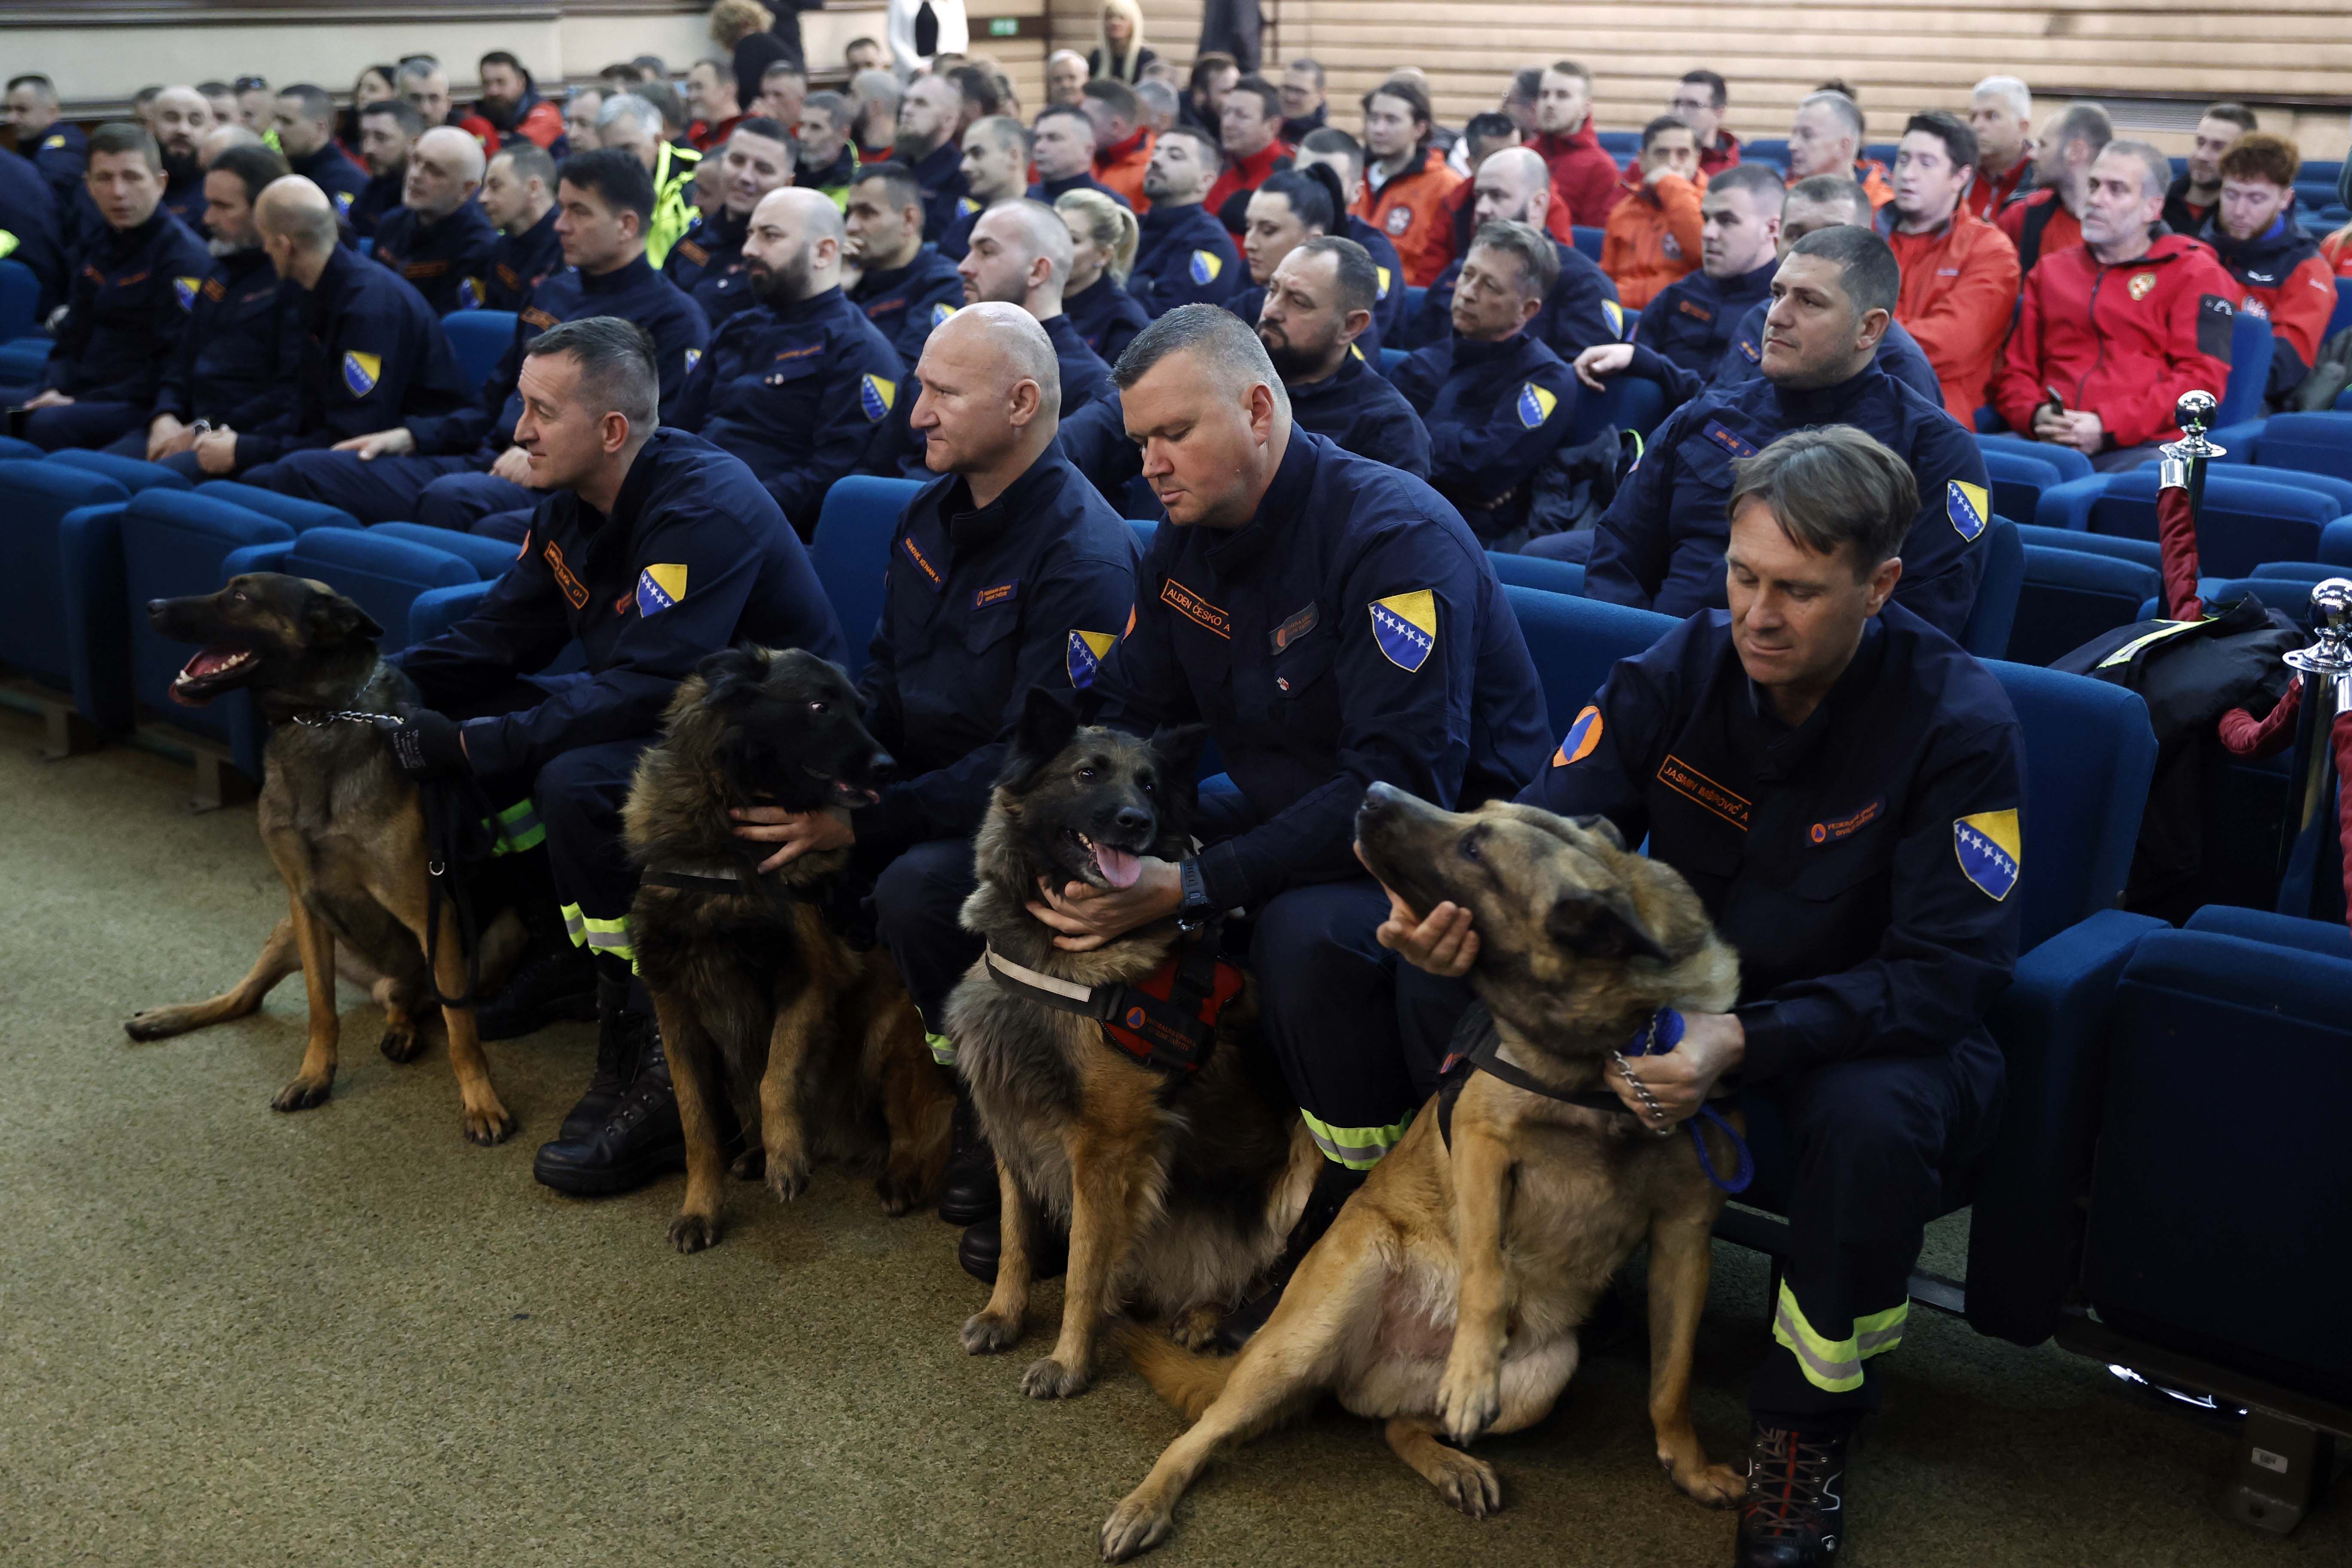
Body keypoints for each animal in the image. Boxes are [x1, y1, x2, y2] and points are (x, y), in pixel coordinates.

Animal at [125, 571, 524, 1147]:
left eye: (240, 597)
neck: (319, 718)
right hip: (287, 929)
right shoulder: (305, 903)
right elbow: (321, 1010)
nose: (152, 606)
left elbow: (462, 1033)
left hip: (500, 936)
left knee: (420, 1000)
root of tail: (384, 981)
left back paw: (403, 1030)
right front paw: (315, 1076)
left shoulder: (430, 910)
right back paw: (169, 1017)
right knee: (247, 999)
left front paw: (481, 1102)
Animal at [630, 644, 959, 1260]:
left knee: (919, 1136)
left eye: (860, 708)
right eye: (818, 707)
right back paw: (756, 1154)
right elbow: (697, 1125)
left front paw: (786, 1154)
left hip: (891, 1038)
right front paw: (701, 1207)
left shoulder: (807, 977)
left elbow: (776, 1073)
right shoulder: (675, 1008)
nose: (889, 768)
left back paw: (896, 1177)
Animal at [945, 691, 1336, 1401]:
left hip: (1304, 1160)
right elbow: (1017, 1237)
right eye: (1087, 775)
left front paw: (1069, 1360)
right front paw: (1004, 1314)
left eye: (1151, 785)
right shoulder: (1009, 1118)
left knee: (1275, 1271)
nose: (1135, 821)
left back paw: (1209, 1316)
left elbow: (1083, 1265)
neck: (1053, 963)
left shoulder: (1106, 1145)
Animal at [1096, 785, 1750, 1561]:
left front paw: (1689, 1464)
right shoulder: (1479, 1141)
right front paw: (1472, 1367)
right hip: (1302, 1339)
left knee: (1400, 1425)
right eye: (1476, 816)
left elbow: (1671, 1379)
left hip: (1544, 1377)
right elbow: (1487, 1274)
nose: (1374, 791)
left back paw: (1451, 1459)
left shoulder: (1685, 1236)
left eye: (1474, 848)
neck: (1611, 1052)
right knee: (1199, 1435)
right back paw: (1147, 1500)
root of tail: (1368, 1370)